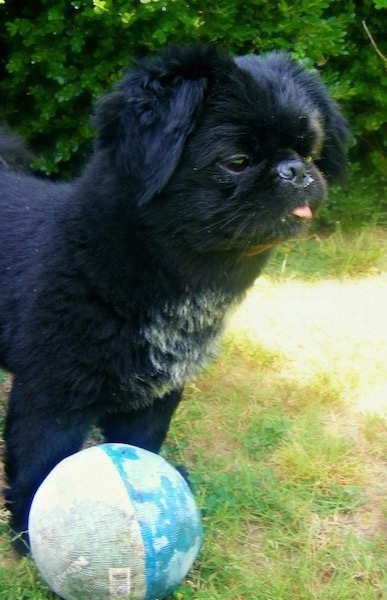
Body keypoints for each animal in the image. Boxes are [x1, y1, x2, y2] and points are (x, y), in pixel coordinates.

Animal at [0, 45, 348, 552]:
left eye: (309, 152)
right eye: (237, 160)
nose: (297, 170)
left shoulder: (155, 396)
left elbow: (141, 448)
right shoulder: (52, 396)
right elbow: (40, 465)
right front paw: (29, 533)